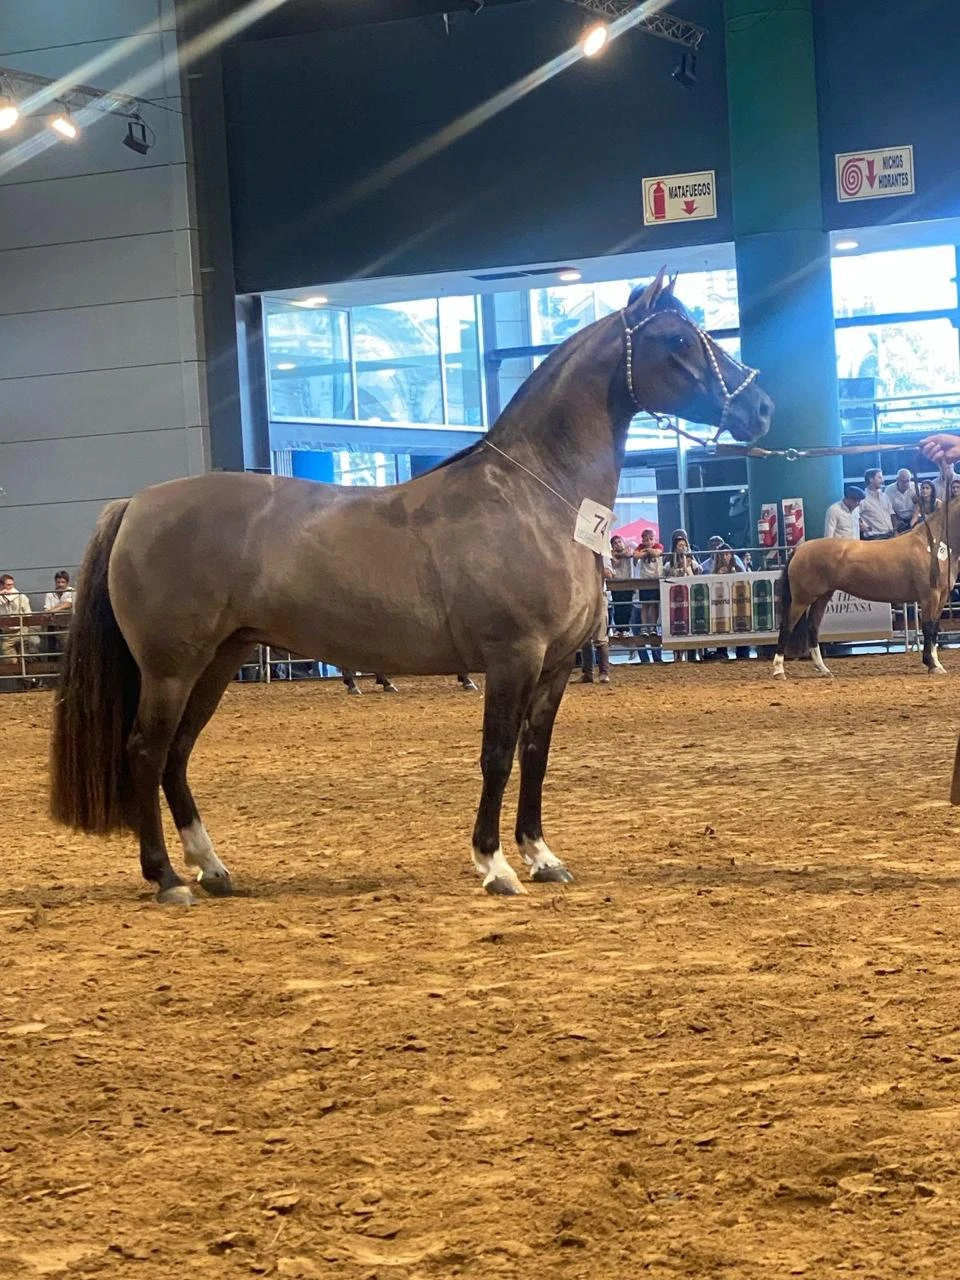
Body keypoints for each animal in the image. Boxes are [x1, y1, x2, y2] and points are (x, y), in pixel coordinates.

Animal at [49, 269, 772, 905]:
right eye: (677, 341)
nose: (761, 407)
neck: (538, 496)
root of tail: (137, 504)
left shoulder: (558, 664)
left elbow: (535, 754)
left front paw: (542, 857)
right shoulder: (513, 656)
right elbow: (497, 756)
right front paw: (494, 865)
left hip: (220, 660)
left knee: (176, 755)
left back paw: (213, 869)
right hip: (171, 668)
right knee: (146, 753)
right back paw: (168, 878)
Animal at [773, 490, 959, 679]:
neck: (932, 545)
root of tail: (799, 549)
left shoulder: (941, 596)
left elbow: (935, 629)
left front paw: (935, 664)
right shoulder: (930, 596)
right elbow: (928, 628)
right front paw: (932, 664)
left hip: (822, 597)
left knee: (813, 628)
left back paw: (823, 669)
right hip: (801, 599)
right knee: (787, 627)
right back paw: (778, 670)